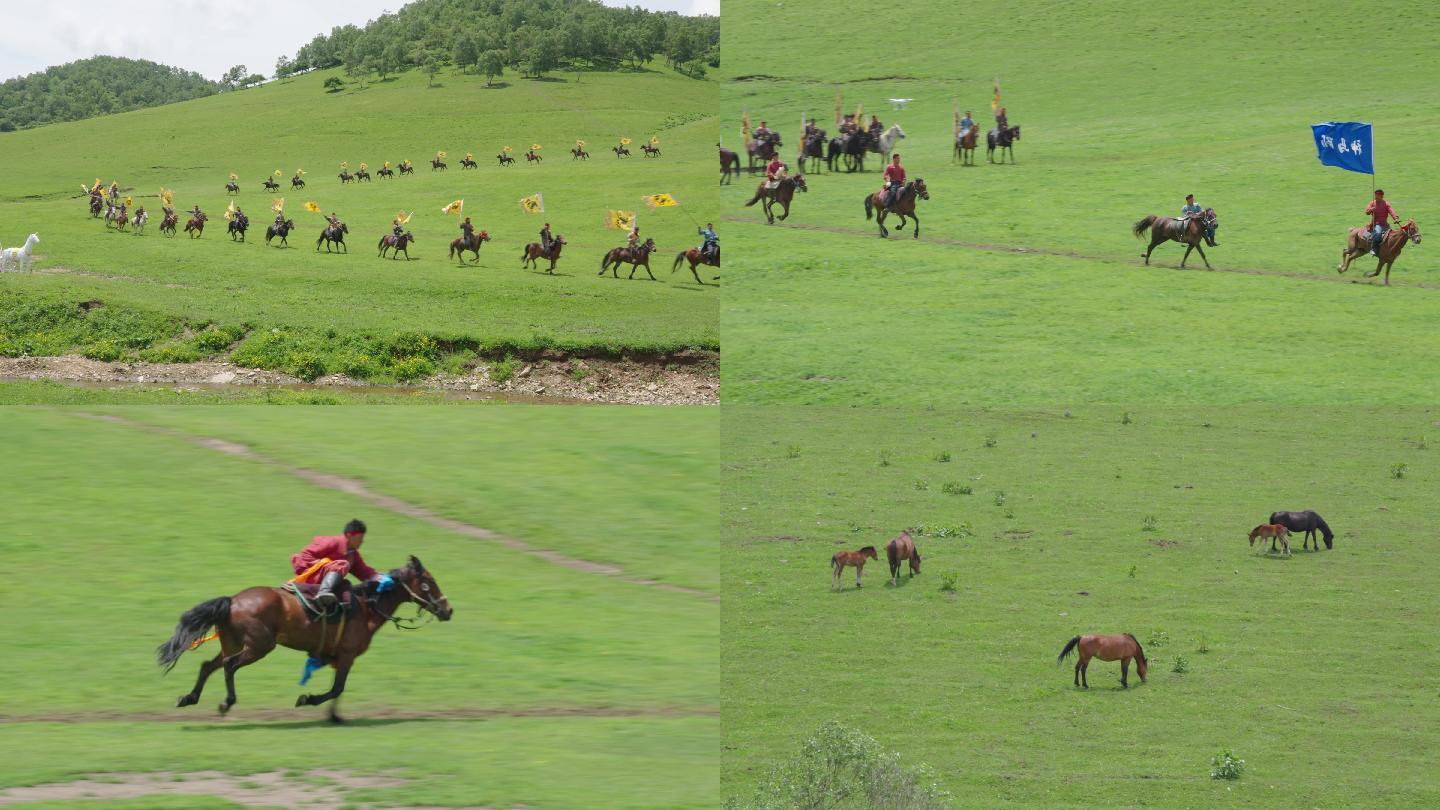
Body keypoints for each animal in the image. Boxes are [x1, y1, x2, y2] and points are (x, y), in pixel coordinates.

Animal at [156, 550, 449, 714]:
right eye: (428, 582)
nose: (448, 609)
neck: (367, 607)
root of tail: (233, 600)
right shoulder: (347, 655)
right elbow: (337, 689)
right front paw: (307, 699)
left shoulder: (337, 658)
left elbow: (337, 691)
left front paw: (335, 717)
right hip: (258, 646)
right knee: (229, 665)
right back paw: (226, 702)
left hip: (233, 642)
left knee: (209, 665)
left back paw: (189, 698)